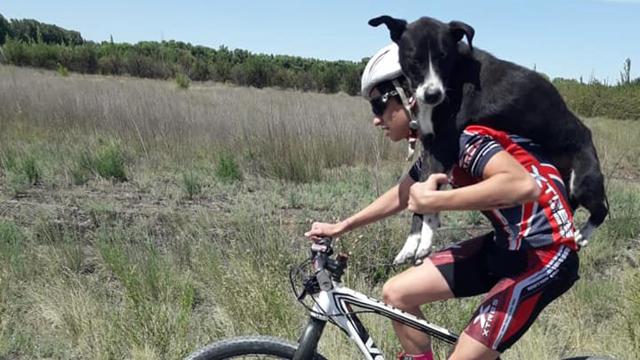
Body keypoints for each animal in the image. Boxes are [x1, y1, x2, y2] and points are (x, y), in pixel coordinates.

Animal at [368, 15, 608, 264]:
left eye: (444, 57)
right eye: (414, 59)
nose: (433, 95)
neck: (455, 73)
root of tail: (586, 132)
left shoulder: (445, 145)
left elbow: (427, 196)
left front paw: (424, 241)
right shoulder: (430, 146)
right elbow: (421, 193)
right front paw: (412, 242)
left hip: (583, 180)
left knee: (601, 210)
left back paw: (583, 234)